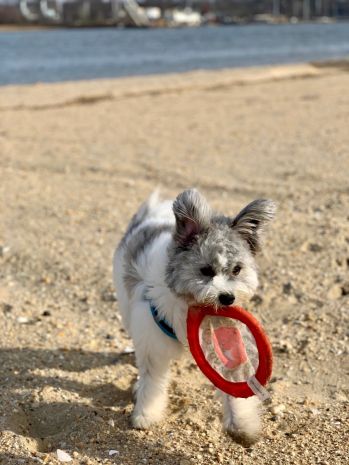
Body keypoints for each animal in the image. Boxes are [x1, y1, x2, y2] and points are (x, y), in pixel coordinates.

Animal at [113, 188, 276, 442]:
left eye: (237, 269)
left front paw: (242, 425)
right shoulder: (151, 342)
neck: (187, 303)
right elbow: (152, 381)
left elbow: (232, 383)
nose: (227, 298)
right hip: (127, 308)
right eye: (206, 270)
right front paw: (145, 415)